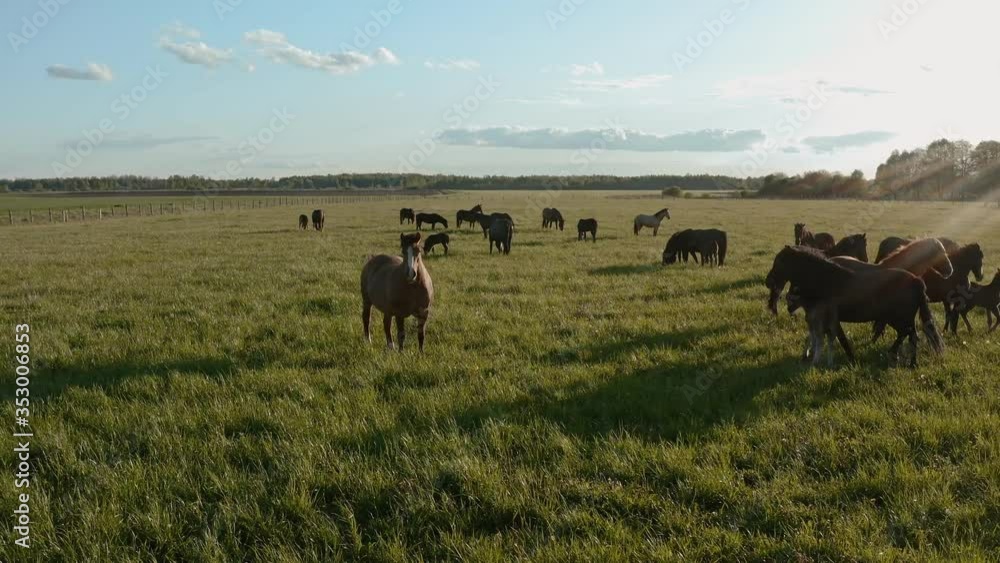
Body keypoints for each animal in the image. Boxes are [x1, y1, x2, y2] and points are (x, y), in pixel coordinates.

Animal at [767, 246, 943, 367]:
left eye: (780, 262)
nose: (768, 281)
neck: (826, 280)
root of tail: (916, 281)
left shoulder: (831, 319)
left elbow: (840, 339)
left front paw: (851, 360)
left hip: (899, 318)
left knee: (908, 334)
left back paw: (900, 357)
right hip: (900, 318)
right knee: (910, 335)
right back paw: (909, 362)